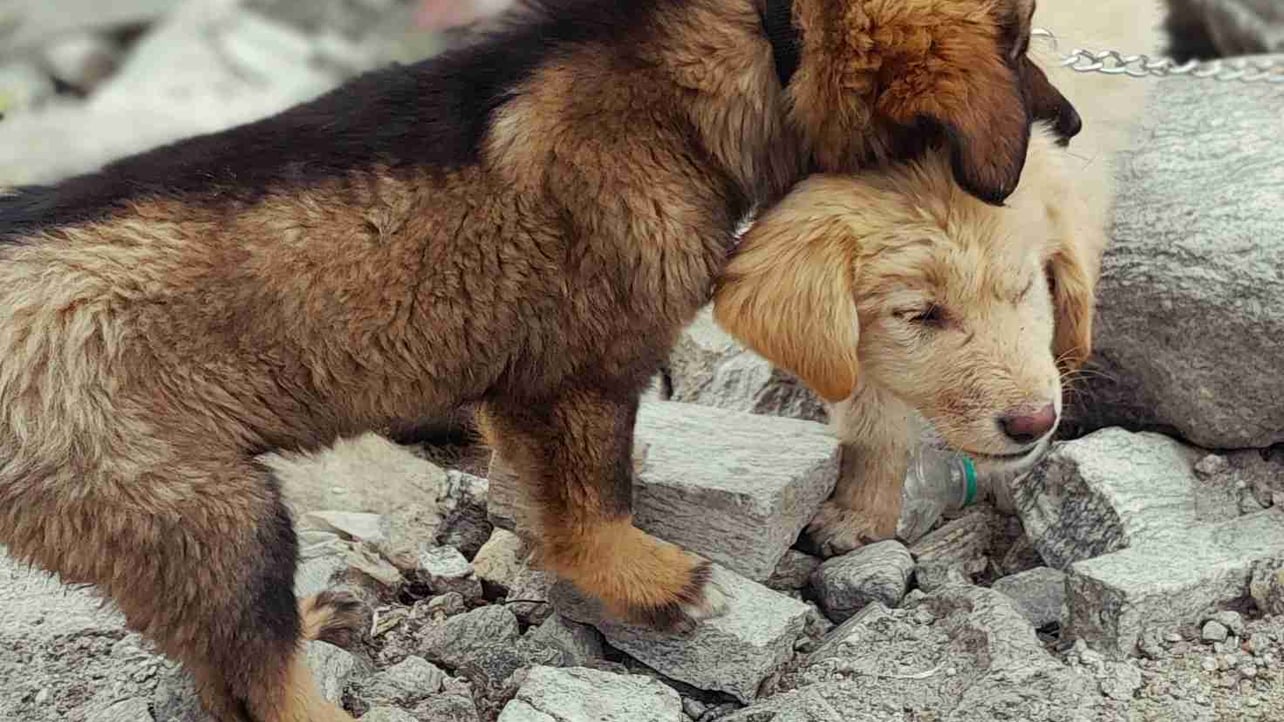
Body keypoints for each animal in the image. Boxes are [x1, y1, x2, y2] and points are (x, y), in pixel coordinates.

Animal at [714, 126, 1104, 555]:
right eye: (921, 314)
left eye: (1024, 288)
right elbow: (874, 422)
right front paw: (861, 512)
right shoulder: (855, 358)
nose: (1033, 423)